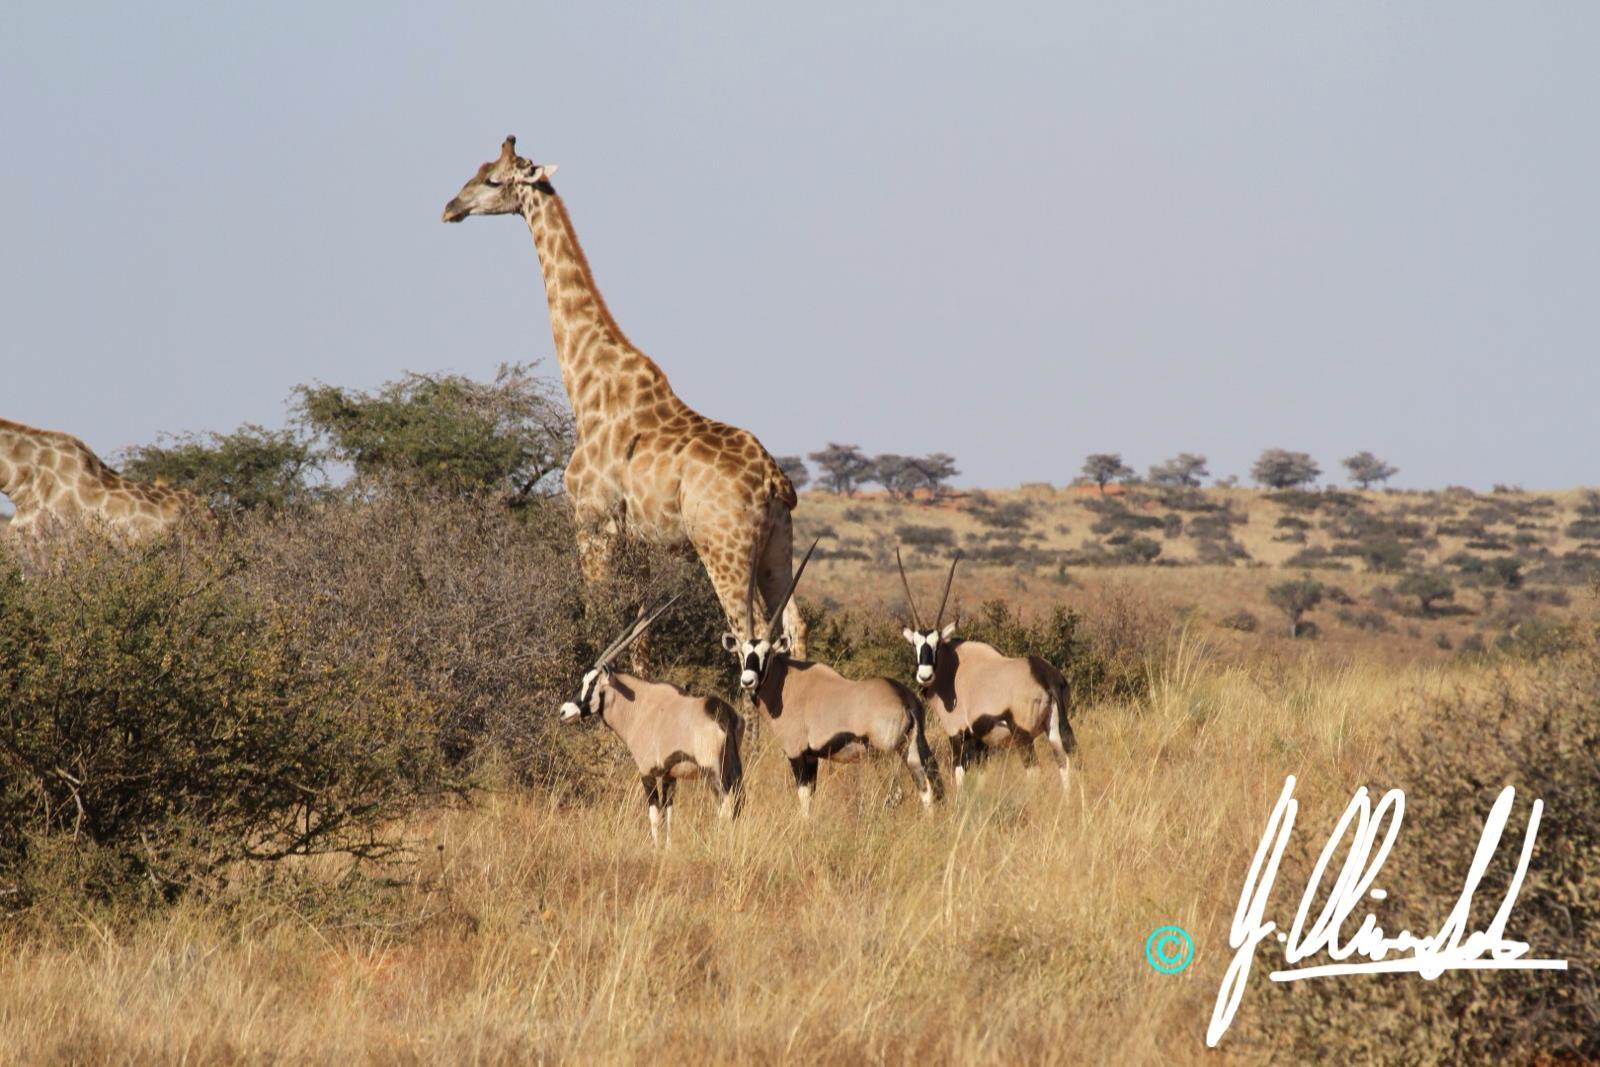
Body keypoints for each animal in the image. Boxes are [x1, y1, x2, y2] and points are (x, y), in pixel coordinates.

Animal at [441, 137, 806, 655]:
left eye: (492, 179)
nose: (450, 208)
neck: (588, 385)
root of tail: (776, 482)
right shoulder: (638, 540)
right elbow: (639, 632)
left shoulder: (592, 524)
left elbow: (599, 623)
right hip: (778, 545)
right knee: (794, 624)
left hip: (724, 548)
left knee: (748, 635)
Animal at [563, 598, 742, 844]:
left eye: (591, 683)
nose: (564, 711)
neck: (639, 707)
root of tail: (722, 713)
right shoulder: (669, 775)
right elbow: (669, 815)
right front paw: (668, 847)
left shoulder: (646, 772)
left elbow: (655, 815)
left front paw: (655, 848)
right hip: (734, 767)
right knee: (738, 804)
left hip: (714, 771)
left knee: (725, 808)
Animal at [723, 543, 940, 819]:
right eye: (742, 653)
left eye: (767, 654)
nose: (748, 681)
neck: (786, 684)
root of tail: (906, 700)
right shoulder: (812, 756)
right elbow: (811, 796)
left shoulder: (796, 752)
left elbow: (804, 798)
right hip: (909, 751)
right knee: (926, 789)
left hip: (884, 754)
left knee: (897, 794)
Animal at [902, 550, 1075, 793]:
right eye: (914, 645)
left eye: (937, 645)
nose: (925, 676)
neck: (953, 669)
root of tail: (1045, 675)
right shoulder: (980, 741)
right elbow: (981, 777)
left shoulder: (957, 733)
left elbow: (959, 773)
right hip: (1053, 729)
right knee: (1065, 764)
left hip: (1023, 735)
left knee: (1034, 772)